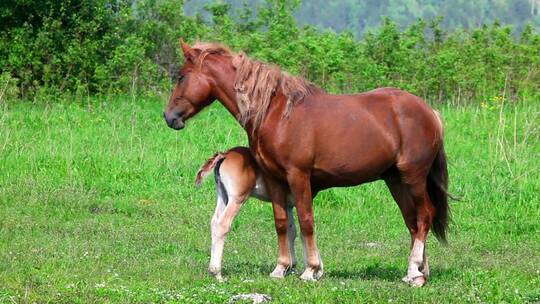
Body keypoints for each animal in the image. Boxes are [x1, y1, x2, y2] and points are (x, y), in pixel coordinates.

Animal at [195, 146, 306, 282]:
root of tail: (225, 154)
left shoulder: (287, 205)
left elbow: (291, 231)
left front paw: (291, 267)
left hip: (222, 196)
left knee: (214, 222)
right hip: (237, 199)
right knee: (223, 225)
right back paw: (217, 274)